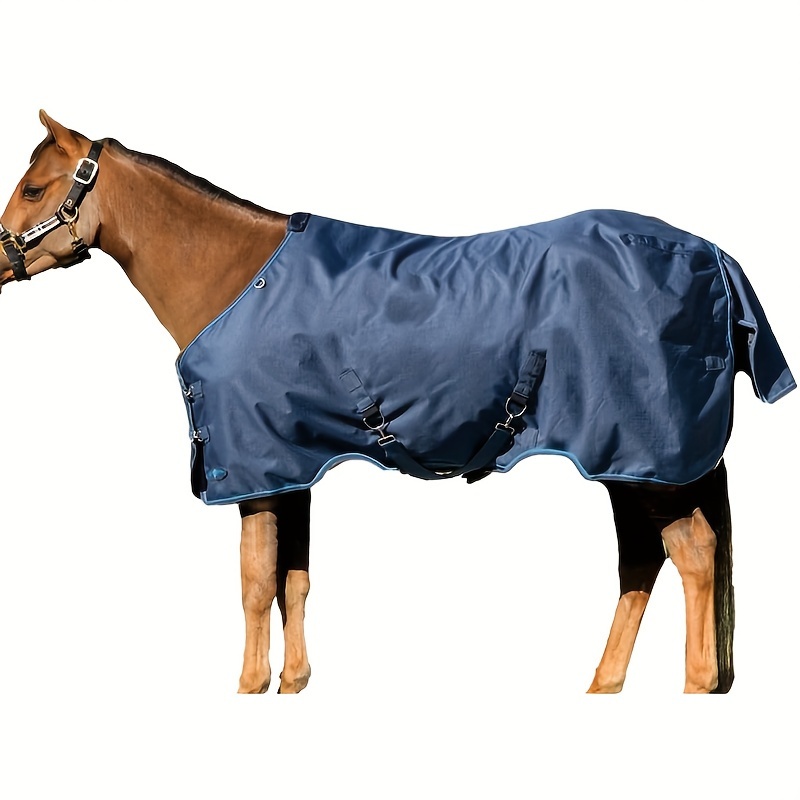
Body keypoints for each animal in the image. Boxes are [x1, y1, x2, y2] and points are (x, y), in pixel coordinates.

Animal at [1, 111, 794, 694]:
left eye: (36, 189)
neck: (236, 279)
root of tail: (711, 256)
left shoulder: (253, 470)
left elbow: (255, 582)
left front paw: (249, 688)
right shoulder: (291, 465)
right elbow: (294, 578)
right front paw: (293, 685)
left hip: (643, 456)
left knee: (692, 556)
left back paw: (691, 687)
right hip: (636, 463)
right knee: (644, 561)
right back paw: (603, 688)